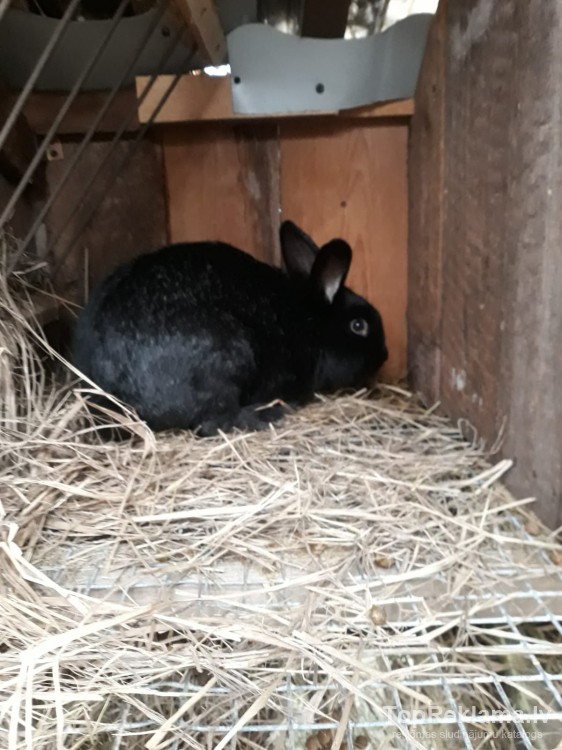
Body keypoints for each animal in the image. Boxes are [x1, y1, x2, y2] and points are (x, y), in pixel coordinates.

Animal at [72, 220, 388, 437]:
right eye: (358, 326)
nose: (384, 355)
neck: (310, 324)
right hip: (227, 358)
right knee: (215, 423)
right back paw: (268, 414)